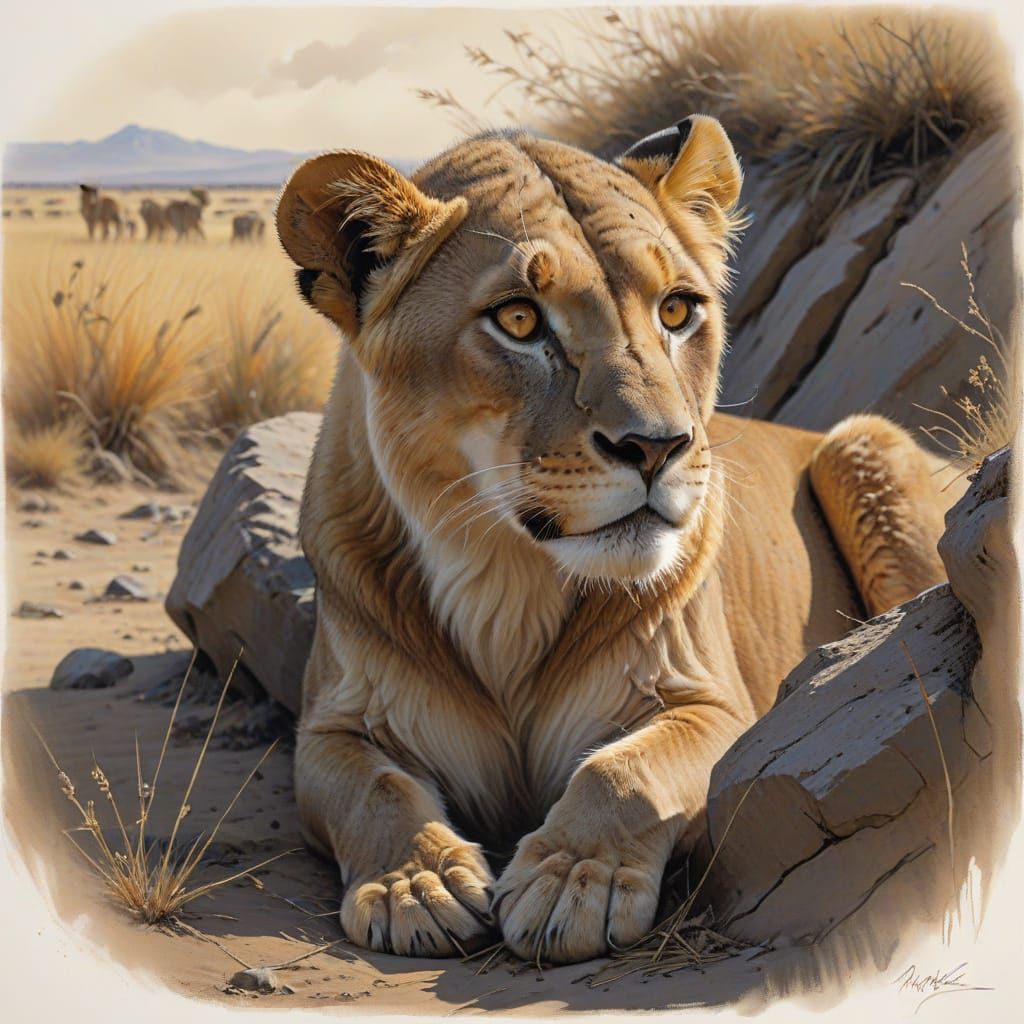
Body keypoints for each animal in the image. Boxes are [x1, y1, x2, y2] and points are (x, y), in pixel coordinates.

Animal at [275, 116, 960, 964]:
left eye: (677, 311)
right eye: (519, 319)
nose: (658, 446)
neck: (506, 578)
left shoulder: (716, 704)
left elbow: (623, 771)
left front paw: (573, 882)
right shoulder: (331, 728)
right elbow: (375, 788)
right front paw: (416, 884)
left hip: (862, 440)